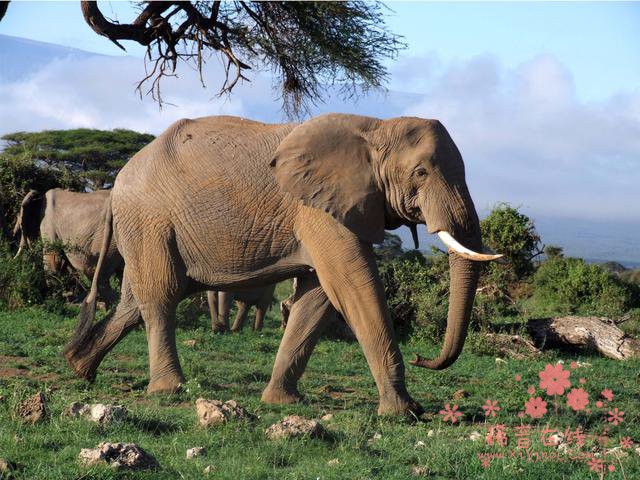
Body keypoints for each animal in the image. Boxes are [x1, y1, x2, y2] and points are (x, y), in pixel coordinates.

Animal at [66, 113, 504, 416]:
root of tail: (116, 184)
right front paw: (405, 412)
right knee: (160, 297)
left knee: (132, 303)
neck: (376, 128)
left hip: (144, 229)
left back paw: (79, 367)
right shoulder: (317, 210)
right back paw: (169, 390)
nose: (422, 359)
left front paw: (282, 402)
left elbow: (318, 299)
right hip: (150, 221)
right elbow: (354, 286)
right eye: (421, 172)